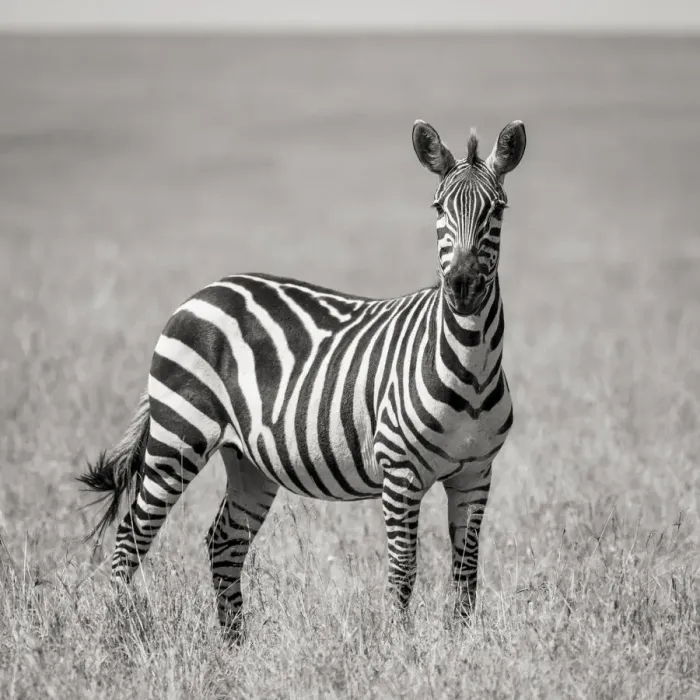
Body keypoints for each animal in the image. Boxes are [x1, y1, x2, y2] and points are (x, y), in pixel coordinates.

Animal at [79, 118, 526, 639]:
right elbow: (403, 568)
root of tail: (203, 292)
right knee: (131, 536)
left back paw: (235, 644)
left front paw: (461, 641)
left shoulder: (476, 474)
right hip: (177, 438)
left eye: (497, 209)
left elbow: (466, 569)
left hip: (247, 462)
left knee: (223, 542)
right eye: (438, 208)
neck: (470, 368)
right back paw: (122, 632)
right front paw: (401, 645)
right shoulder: (399, 470)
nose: (462, 287)